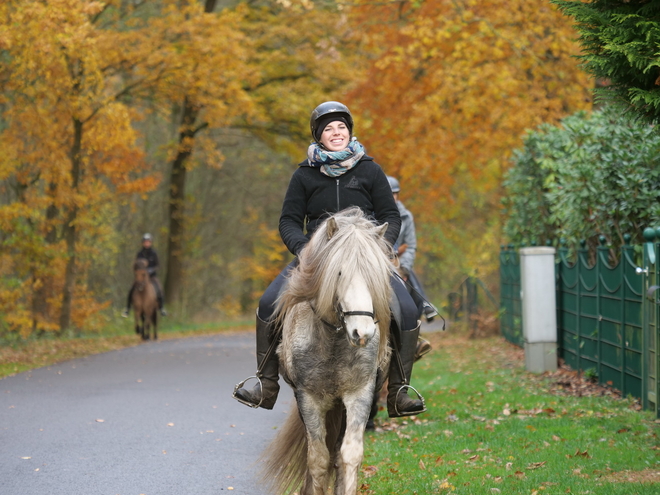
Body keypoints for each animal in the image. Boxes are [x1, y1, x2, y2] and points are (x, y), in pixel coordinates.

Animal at [258, 208, 392, 495]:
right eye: (339, 273)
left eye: (375, 276)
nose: (362, 333)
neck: (333, 340)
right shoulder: (308, 398)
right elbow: (317, 459)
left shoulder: (359, 394)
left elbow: (349, 455)